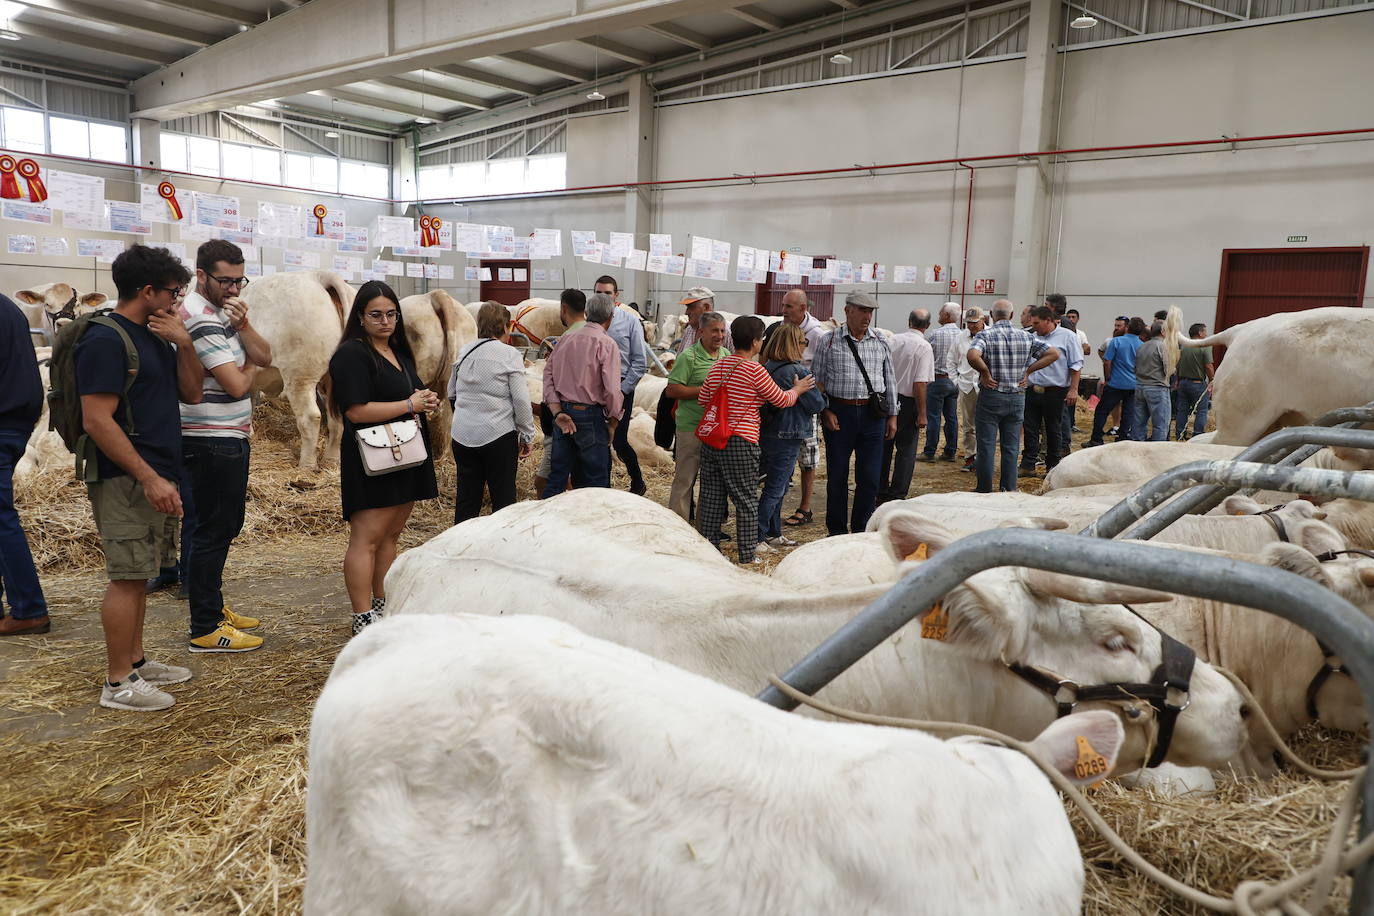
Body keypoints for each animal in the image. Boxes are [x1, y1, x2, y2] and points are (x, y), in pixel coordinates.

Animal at [244, 269, 357, 469]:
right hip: (330, 381)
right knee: (336, 420)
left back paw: (307, 465)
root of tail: (319, 276)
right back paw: (331, 461)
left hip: (300, 376)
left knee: (310, 417)